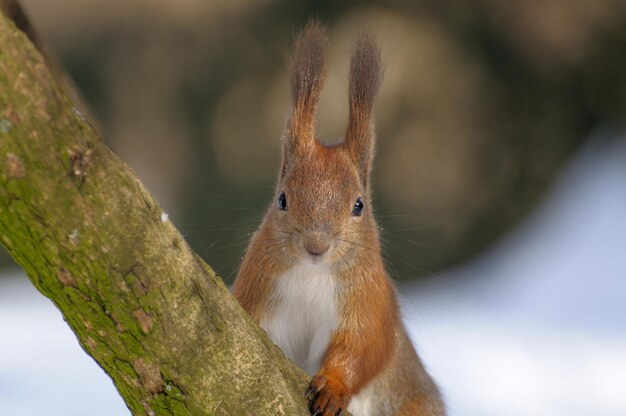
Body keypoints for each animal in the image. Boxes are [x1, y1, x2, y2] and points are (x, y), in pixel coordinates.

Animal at [230, 22, 444, 416]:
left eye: (358, 205)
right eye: (282, 200)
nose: (316, 246)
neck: (312, 274)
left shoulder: (369, 304)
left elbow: (361, 350)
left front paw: (332, 388)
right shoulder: (259, 291)